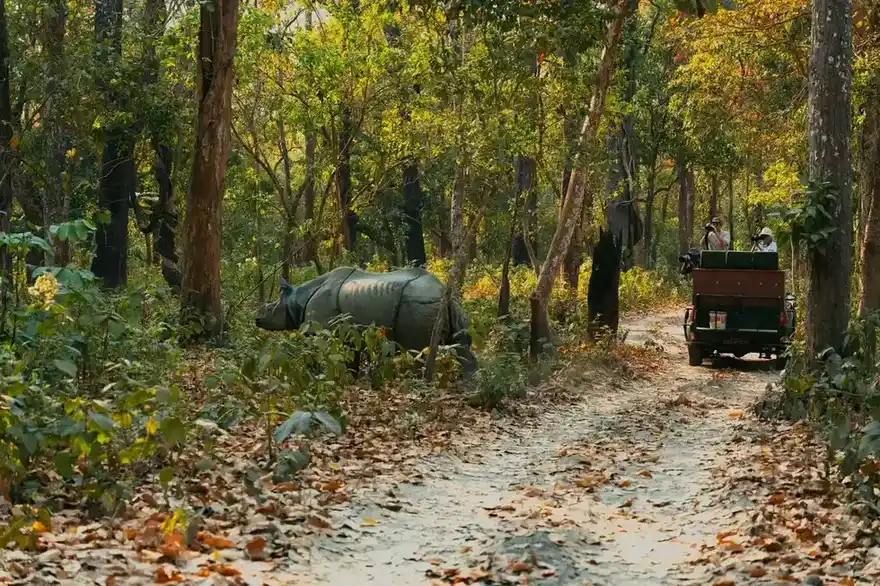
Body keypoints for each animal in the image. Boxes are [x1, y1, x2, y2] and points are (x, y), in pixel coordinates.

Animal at [256, 267, 477, 372]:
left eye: (270, 309)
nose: (256, 318)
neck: (296, 300)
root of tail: (444, 292)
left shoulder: (318, 330)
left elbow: (314, 354)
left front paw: (316, 375)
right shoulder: (349, 334)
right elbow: (351, 358)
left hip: (418, 303)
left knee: (418, 350)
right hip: (441, 306)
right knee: (459, 345)